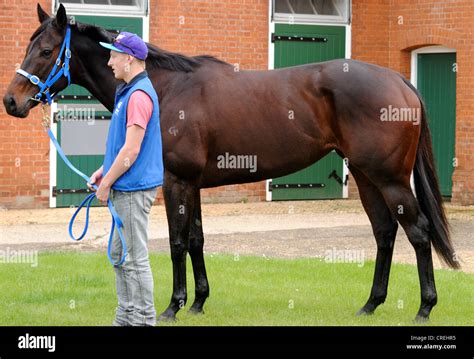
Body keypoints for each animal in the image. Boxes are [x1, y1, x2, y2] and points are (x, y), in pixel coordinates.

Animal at [1, 3, 458, 324]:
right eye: (27, 45)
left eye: (45, 50)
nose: (11, 101)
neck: (166, 88)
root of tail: (398, 80)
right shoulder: (193, 185)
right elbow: (197, 240)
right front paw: (199, 303)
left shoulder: (177, 182)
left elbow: (177, 243)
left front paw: (173, 307)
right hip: (365, 176)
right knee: (384, 232)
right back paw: (370, 305)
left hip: (389, 178)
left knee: (417, 233)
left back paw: (424, 308)